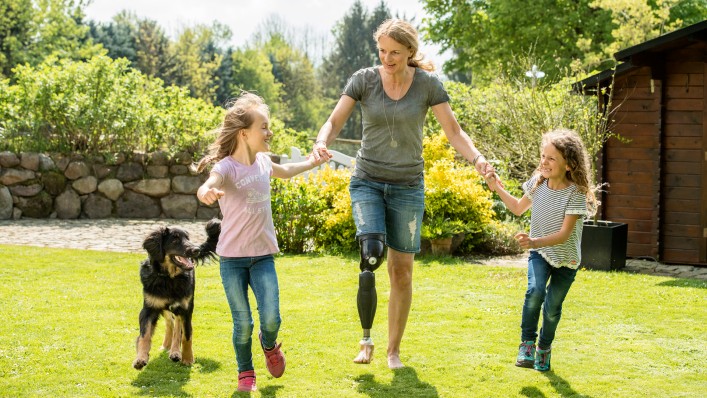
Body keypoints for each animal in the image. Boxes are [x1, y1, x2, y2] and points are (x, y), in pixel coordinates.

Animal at [133, 219, 220, 368]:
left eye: (188, 238)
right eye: (175, 240)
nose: (196, 250)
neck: (169, 278)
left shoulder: (186, 308)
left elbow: (186, 335)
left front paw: (187, 358)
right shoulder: (149, 308)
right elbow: (144, 335)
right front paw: (141, 358)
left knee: (177, 326)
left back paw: (175, 351)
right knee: (170, 324)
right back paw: (167, 346)